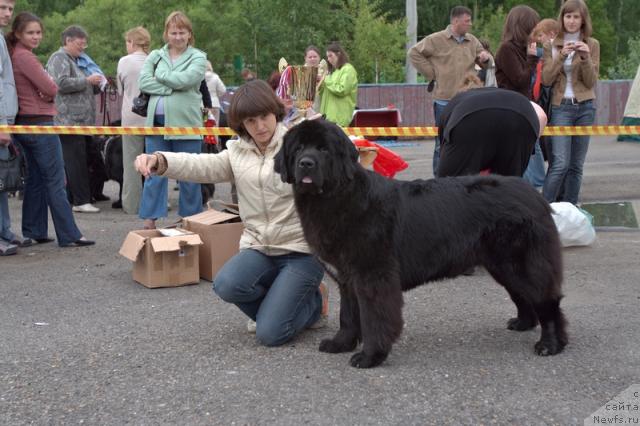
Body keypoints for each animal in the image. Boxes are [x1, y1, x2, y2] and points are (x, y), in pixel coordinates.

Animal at [272, 119, 568, 366]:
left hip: (521, 262)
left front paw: (370, 356)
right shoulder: (347, 278)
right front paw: (341, 343)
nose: (306, 163)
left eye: (323, 150)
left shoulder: (373, 276)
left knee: (547, 299)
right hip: (502, 265)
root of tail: (535, 196)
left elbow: (374, 318)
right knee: (522, 295)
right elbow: (349, 315)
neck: (337, 197)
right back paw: (523, 323)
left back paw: (550, 344)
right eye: (299, 148)